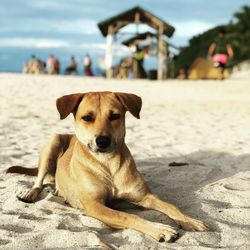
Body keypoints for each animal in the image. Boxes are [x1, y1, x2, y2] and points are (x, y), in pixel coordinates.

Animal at [7, 92, 207, 242]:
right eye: (87, 117)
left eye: (115, 116)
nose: (102, 141)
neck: (108, 163)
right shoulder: (95, 205)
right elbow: (127, 216)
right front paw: (160, 229)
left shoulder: (144, 196)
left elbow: (171, 207)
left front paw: (190, 221)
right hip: (53, 142)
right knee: (39, 179)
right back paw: (31, 192)